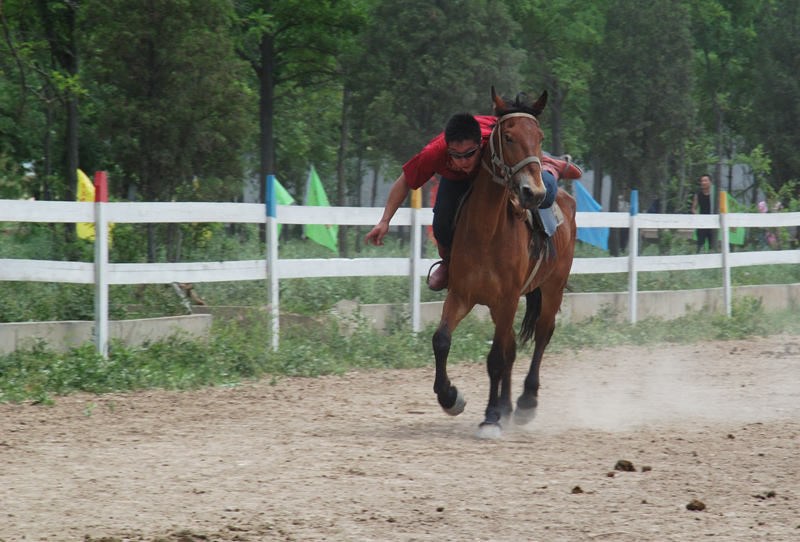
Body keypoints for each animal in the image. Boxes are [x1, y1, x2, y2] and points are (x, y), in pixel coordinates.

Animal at [432, 87, 576, 440]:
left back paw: (525, 403)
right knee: (511, 345)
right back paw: (509, 406)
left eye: (540, 137)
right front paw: (450, 397)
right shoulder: (462, 295)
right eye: (508, 137)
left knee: (542, 334)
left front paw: (491, 417)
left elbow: (496, 358)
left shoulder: (508, 298)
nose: (533, 193)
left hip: (552, 289)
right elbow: (442, 341)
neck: (486, 231)